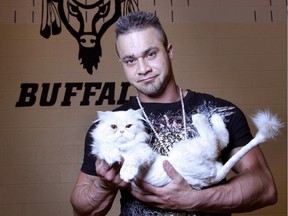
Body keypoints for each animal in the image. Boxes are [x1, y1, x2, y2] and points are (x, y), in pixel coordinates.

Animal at [90, 109, 284, 189]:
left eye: (128, 126)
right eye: (113, 127)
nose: (122, 131)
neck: (123, 147)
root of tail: (215, 176)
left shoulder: (144, 152)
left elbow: (131, 158)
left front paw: (125, 172)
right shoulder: (101, 149)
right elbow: (105, 148)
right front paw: (113, 157)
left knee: (218, 140)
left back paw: (208, 117)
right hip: (194, 150)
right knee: (216, 141)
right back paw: (204, 118)